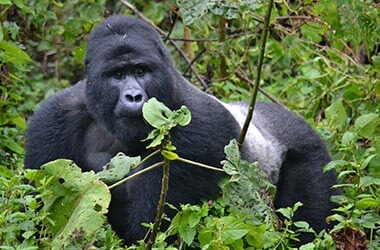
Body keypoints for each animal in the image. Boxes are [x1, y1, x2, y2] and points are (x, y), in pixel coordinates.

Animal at [25, 15, 336, 244]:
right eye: (117, 75)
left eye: (141, 71)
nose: (134, 96)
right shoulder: (53, 119)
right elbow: (39, 211)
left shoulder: (200, 129)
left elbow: (152, 230)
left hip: (311, 152)